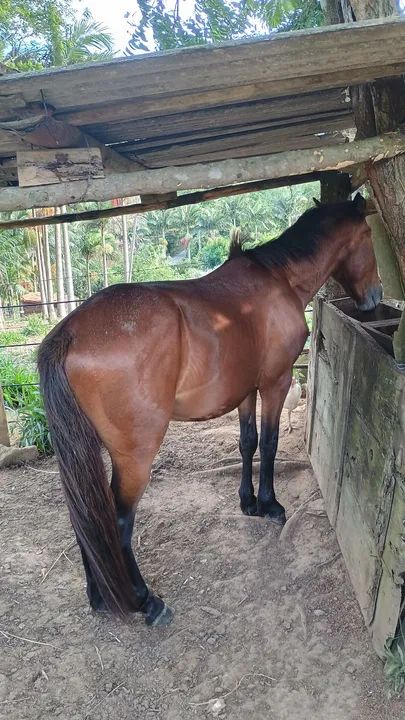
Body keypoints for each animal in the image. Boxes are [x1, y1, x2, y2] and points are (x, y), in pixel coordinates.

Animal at [38, 193, 382, 627]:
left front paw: (248, 503)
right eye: (368, 234)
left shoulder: (246, 391)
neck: (279, 279)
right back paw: (145, 601)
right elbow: (270, 444)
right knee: (117, 520)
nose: (376, 296)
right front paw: (271, 506)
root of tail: (70, 332)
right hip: (135, 456)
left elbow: (248, 442)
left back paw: (100, 596)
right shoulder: (275, 383)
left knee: (89, 514)